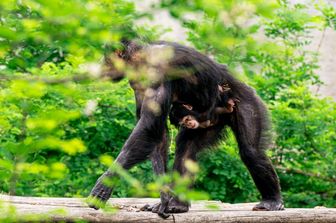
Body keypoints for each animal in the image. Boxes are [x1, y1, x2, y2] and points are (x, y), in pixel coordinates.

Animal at [88, 39, 284, 216]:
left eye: (107, 58)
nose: (101, 64)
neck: (141, 62)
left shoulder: (158, 74)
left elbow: (148, 129)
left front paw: (105, 183)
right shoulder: (138, 85)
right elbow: (158, 133)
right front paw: (164, 198)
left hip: (247, 103)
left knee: (251, 151)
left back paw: (272, 201)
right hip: (206, 123)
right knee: (186, 149)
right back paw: (178, 204)